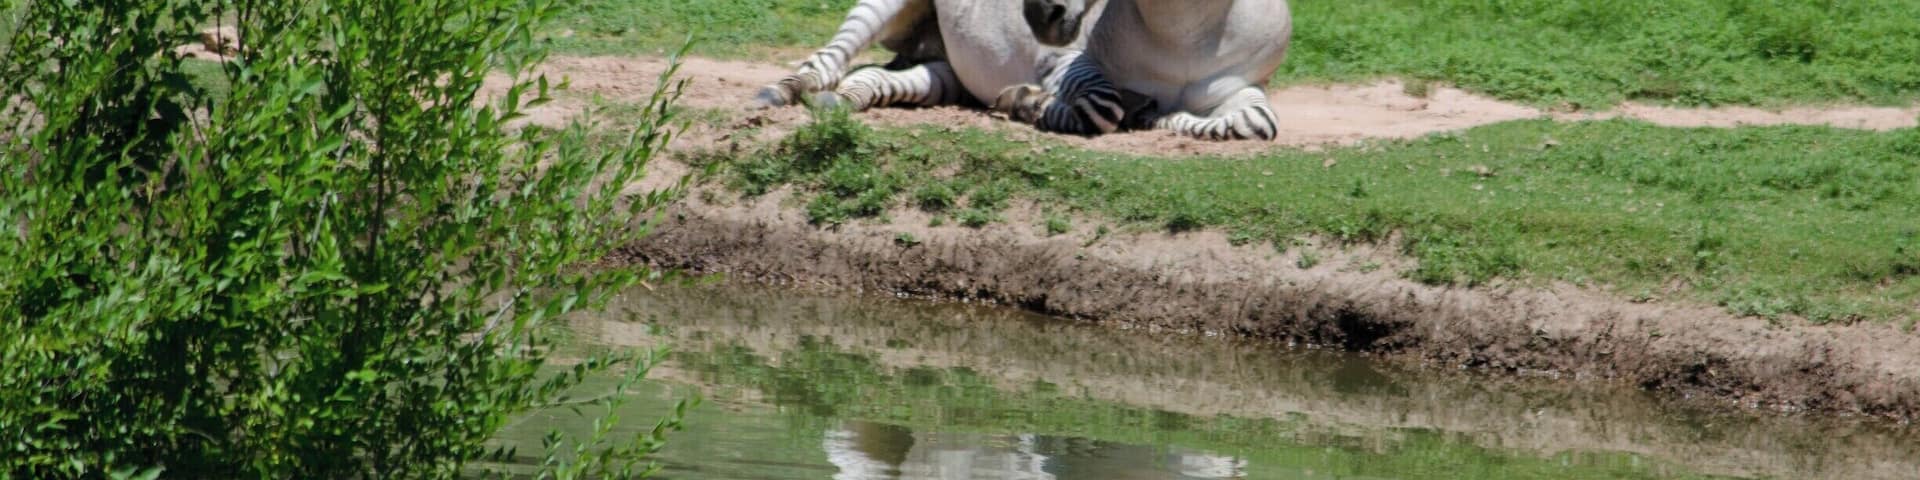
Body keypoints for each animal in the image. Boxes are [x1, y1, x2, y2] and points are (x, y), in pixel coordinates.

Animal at [753, 0, 1129, 136]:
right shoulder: (1058, 60)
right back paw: (780, 91)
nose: (1043, 17)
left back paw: (839, 100)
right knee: (831, 58)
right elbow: (1100, 109)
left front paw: (1024, 101)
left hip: (950, 69)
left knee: (875, 77)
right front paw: (1027, 102)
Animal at [998, 0, 1293, 141]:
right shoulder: (1062, 59)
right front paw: (1029, 102)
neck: (1183, 37)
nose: (1038, 12)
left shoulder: (1242, 84)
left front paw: (1158, 118)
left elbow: (1255, 121)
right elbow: (1099, 107)